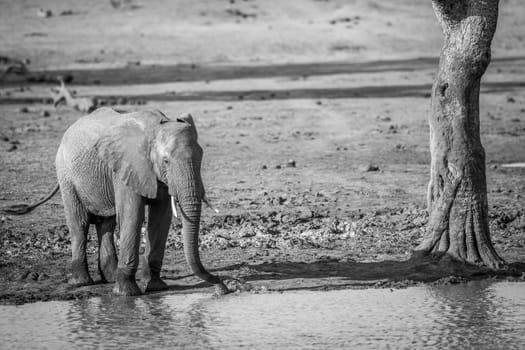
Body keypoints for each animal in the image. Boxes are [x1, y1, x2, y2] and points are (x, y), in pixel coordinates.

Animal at [2, 107, 228, 296]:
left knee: (106, 224)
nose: (222, 287)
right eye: (166, 161)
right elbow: (132, 215)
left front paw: (155, 288)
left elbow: (160, 218)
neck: (155, 128)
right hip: (66, 175)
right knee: (79, 224)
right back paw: (82, 282)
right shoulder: (126, 168)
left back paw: (110, 278)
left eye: (201, 158)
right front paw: (127, 294)